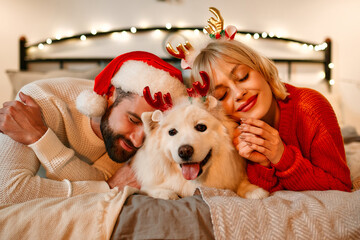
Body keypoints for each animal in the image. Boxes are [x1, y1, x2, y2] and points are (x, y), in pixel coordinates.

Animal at [131, 95, 268, 199]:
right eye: (172, 132)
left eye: (201, 127)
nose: (185, 151)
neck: (194, 182)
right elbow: (150, 189)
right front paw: (167, 193)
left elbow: (243, 185)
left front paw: (254, 191)